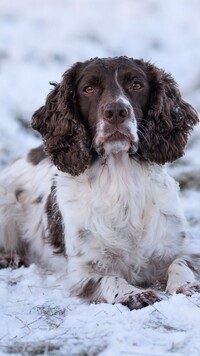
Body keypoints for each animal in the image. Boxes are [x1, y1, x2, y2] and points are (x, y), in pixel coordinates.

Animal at [0, 56, 200, 308]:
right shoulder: (83, 272)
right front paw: (133, 293)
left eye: (136, 85)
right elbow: (111, 279)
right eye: (89, 89)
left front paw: (185, 285)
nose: (116, 111)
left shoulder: (177, 247)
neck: (121, 180)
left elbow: (180, 263)